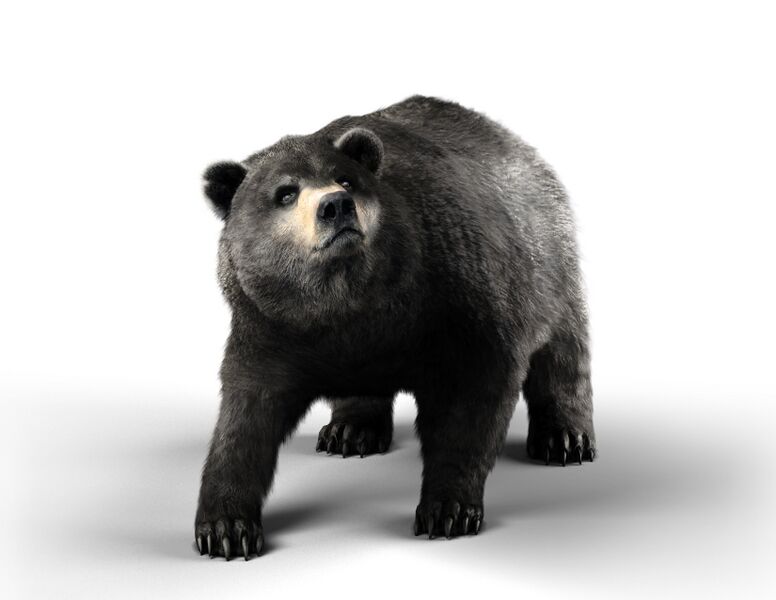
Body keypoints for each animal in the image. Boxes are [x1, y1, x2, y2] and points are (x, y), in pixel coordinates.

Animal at [195, 95, 595, 560]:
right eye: (285, 192)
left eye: (346, 179)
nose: (335, 205)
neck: (349, 302)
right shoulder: (271, 329)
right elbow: (245, 418)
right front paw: (225, 528)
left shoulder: (456, 299)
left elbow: (471, 394)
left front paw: (446, 509)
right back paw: (350, 430)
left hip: (546, 258)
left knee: (563, 346)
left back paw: (565, 439)